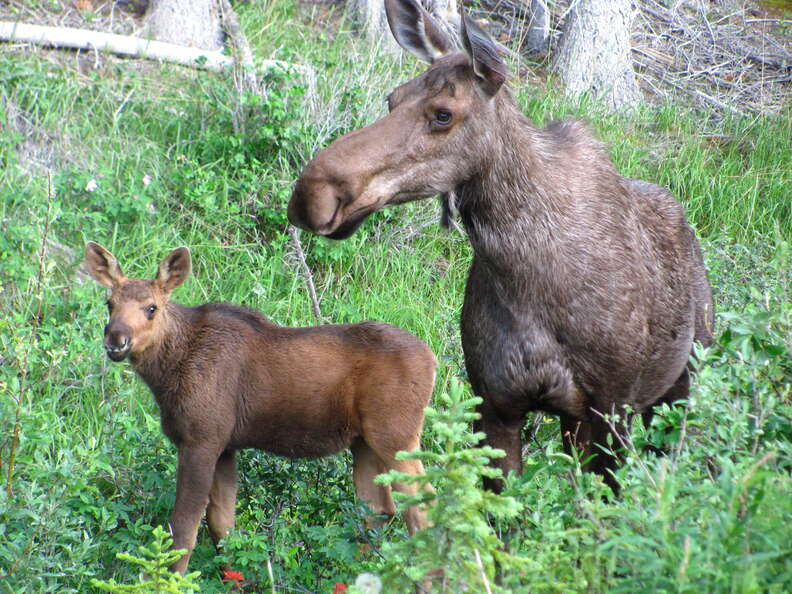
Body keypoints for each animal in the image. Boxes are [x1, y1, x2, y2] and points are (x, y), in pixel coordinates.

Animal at [83, 239, 436, 568]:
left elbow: (182, 531)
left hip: (397, 435)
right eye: (109, 303)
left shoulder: (201, 439)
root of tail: (432, 361)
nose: (116, 339)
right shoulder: (226, 446)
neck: (167, 373)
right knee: (378, 510)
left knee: (424, 508)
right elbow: (222, 526)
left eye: (152, 307)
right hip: (364, 442)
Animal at [288, 0, 716, 490]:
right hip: (577, 420)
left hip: (684, 379)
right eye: (392, 98)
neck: (527, 274)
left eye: (443, 113)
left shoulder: (613, 406)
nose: (311, 193)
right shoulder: (496, 404)